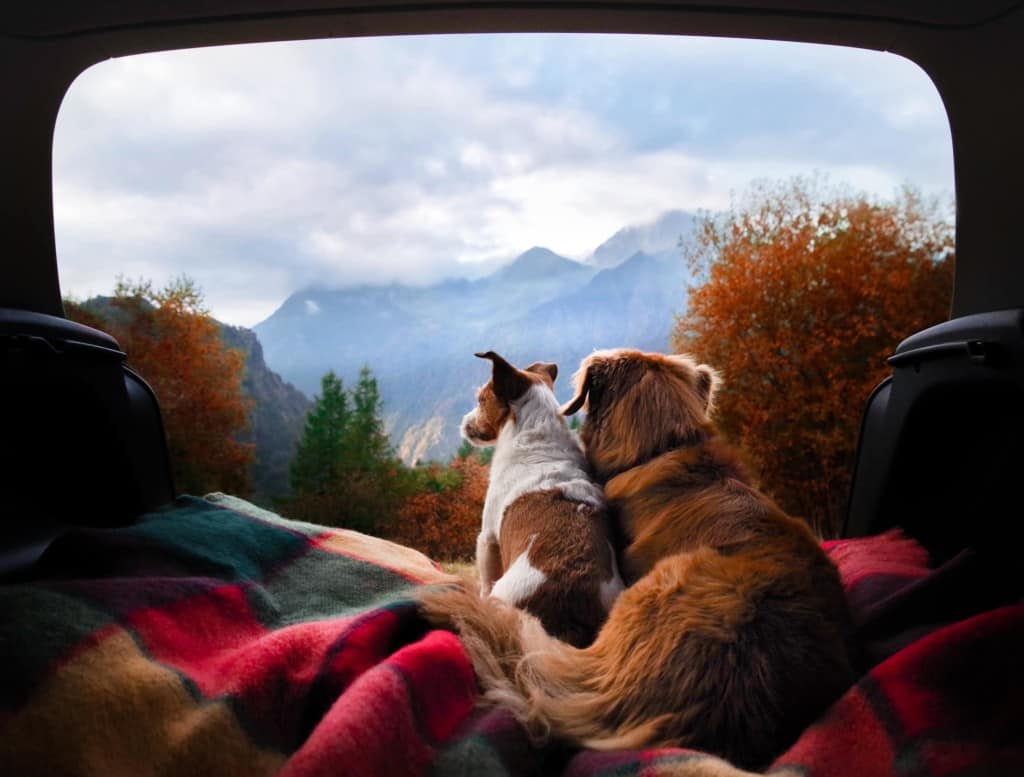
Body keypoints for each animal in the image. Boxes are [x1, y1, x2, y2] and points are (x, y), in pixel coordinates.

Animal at [458, 350, 618, 642]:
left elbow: (484, 578)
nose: (463, 423)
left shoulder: (487, 538)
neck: (537, 437)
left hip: (503, 596)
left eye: (481, 400)